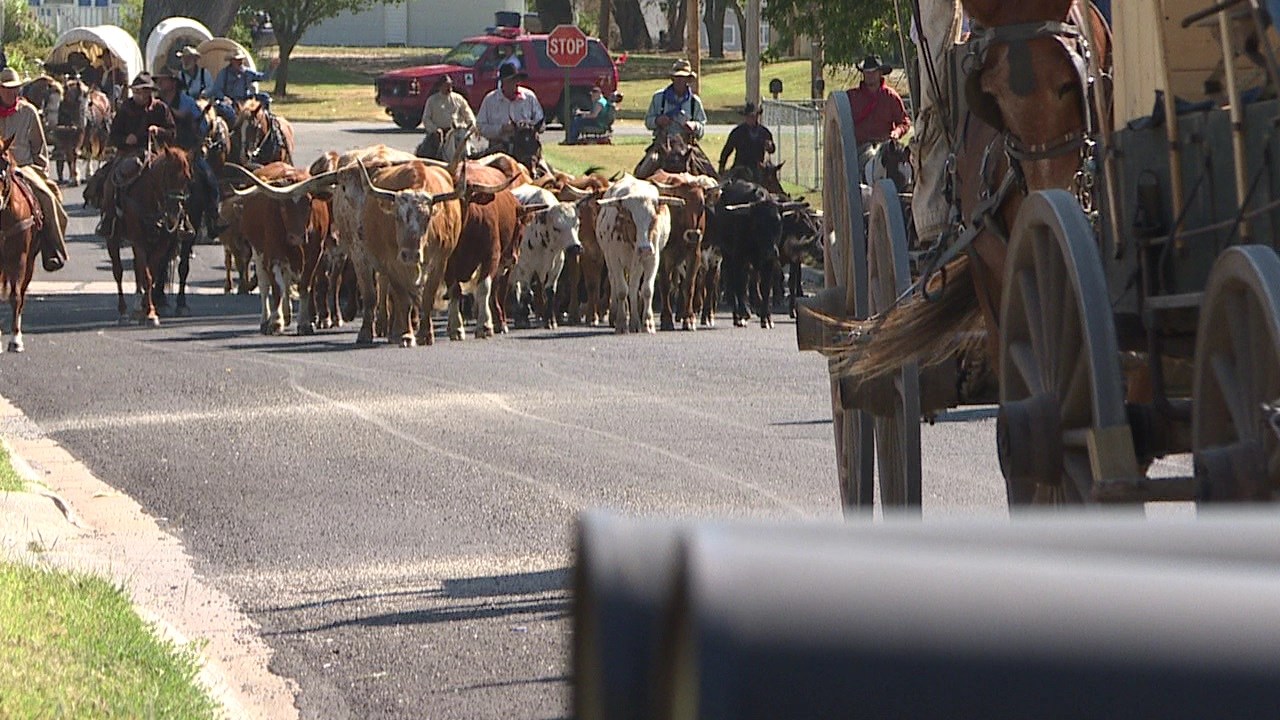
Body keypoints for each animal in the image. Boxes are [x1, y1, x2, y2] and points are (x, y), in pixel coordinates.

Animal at [107, 144, 193, 324]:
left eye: (187, 178)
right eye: (168, 175)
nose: (175, 214)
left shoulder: (162, 243)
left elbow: (151, 273)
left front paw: (148, 309)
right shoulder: (138, 241)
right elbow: (146, 275)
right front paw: (150, 313)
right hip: (112, 238)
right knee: (118, 271)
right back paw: (123, 310)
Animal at [593, 174, 686, 333]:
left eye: (653, 219)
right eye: (629, 219)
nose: (645, 248)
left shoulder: (652, 259)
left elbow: (647, 290)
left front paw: (647, 323)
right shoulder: (614, 259)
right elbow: (621, 290)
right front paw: (621, 323)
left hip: (638, 263)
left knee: (634, 286)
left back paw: (635, 322)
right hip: (611, 260)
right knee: (615, 282)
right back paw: (616, 316)